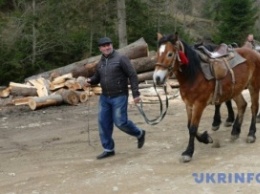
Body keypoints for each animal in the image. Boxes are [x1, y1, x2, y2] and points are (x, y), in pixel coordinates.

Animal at [153, 33, 260, 162]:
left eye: (170, 54)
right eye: (157, 54)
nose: (157, 78)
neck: (194, 75)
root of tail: (254, 53)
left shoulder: (199, 104)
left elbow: (193, 128)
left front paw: (188, 152)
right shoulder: (188, 104)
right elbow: (189, 126)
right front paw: (206, 138)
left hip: (254, 86)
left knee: (254, 108)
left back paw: (251, 134)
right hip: (235, 89)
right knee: (242, 105)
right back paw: (235, 131)